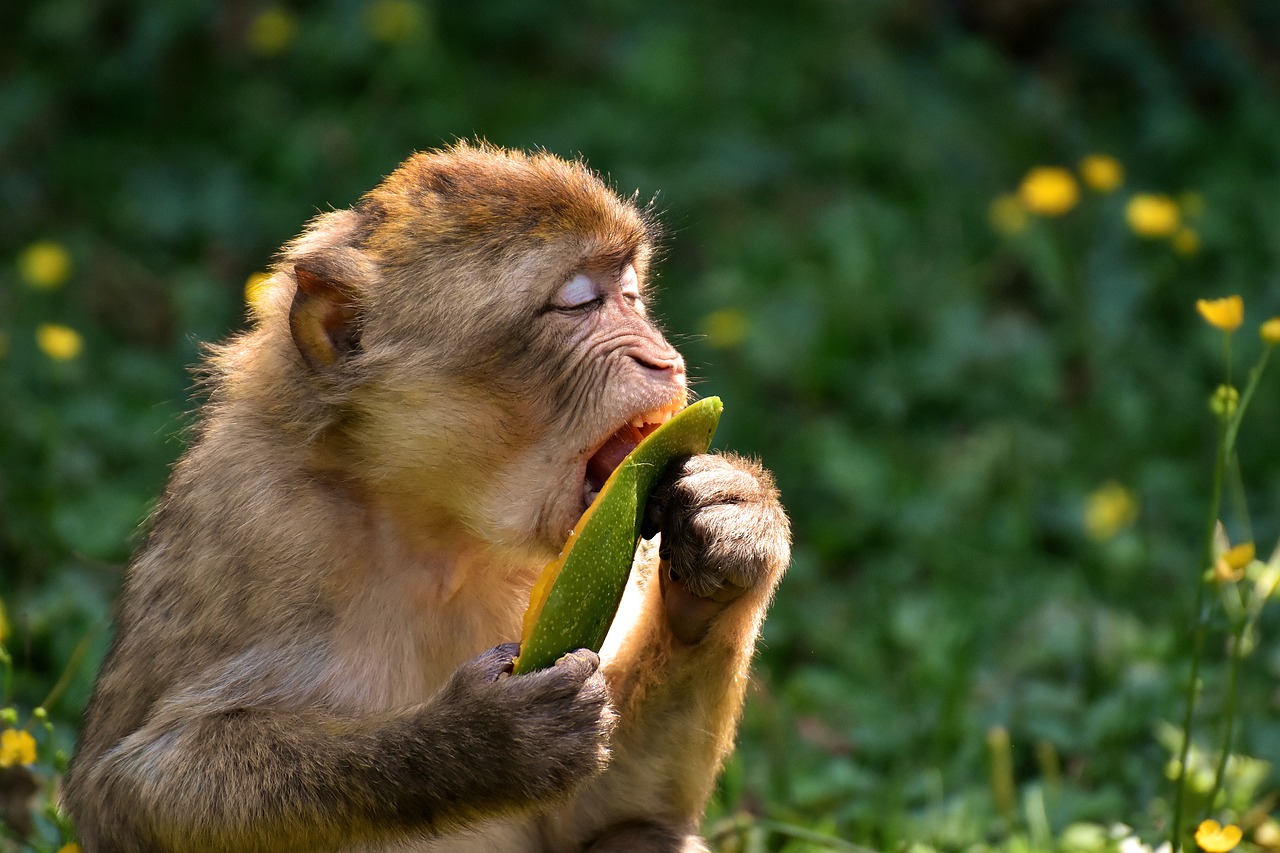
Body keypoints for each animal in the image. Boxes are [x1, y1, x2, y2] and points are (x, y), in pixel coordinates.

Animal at [70, 142, 793, 845]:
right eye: (579, 301)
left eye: (631, 294)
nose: (664, 360)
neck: (435, 525)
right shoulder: (250, 520)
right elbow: (128, 787)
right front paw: (485, 742)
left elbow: (611, 813)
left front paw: (733, 529)